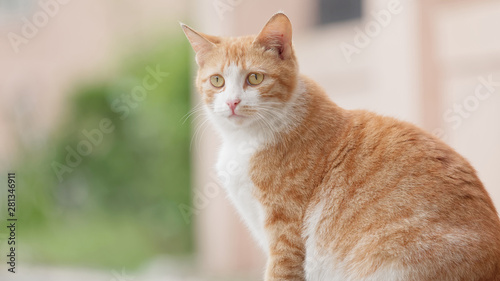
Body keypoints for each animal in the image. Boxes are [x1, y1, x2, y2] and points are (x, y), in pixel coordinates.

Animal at [182, 12, 500, 280]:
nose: (232, 103)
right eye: (217, 81)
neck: (246, 140)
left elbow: (281, 271)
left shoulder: (285, 234)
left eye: (255, 78)